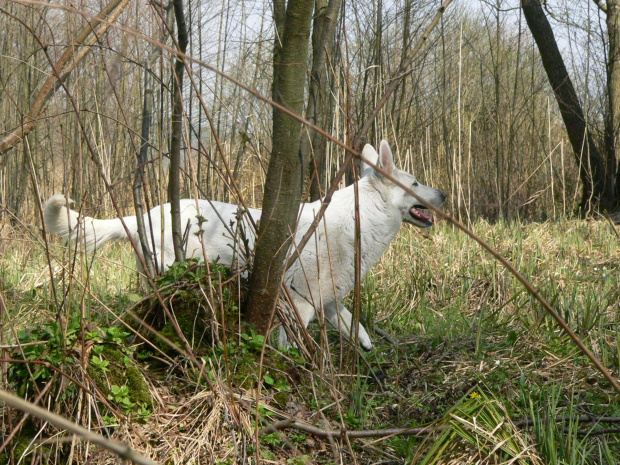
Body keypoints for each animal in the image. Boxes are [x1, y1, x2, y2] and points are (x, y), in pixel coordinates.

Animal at [46, 140, 448, 348]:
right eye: (415, 182)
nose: (444, 194)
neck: (362, 219)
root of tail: (142, 215)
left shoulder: (329, 301)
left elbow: (354, 324)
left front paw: (367, 347)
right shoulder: (300, 307)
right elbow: (291, 345)